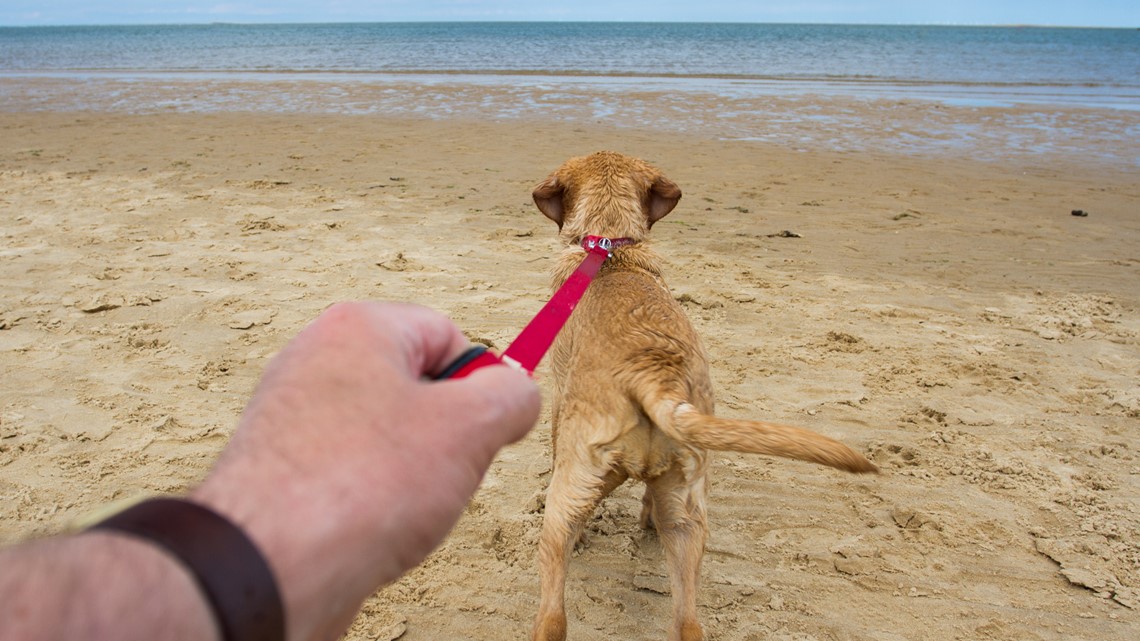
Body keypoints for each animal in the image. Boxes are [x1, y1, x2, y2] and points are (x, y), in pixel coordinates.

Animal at [528, 151, 875, 638]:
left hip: (566, 501)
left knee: (553, 613)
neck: (614, 251)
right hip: (687, 515)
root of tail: (651, 372)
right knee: (688, 620)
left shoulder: (560, 398)